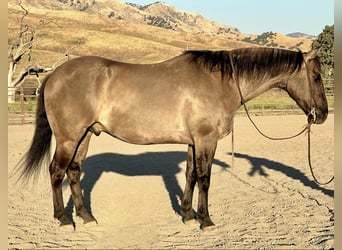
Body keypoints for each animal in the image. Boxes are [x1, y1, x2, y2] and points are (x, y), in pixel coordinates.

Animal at [18, 46, 328, 229]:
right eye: (315, 77)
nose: (323, 114)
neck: (220, 82)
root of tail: (55, 75)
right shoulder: (206, 140)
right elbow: (205, 178)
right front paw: (205, 220)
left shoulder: (193, 142)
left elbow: (190, 175)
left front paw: (188, 214)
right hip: (69, 138)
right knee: (56, 171)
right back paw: (63, 219)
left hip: (84, 136)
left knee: (73, 172)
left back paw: (86, 216)